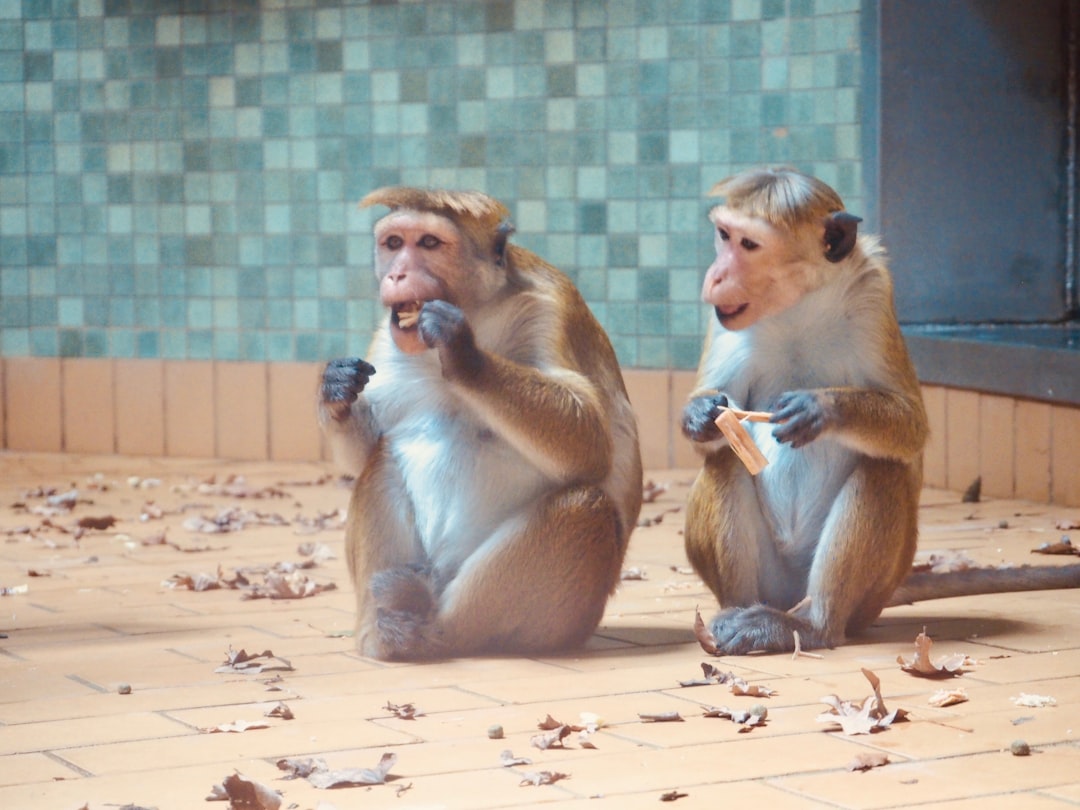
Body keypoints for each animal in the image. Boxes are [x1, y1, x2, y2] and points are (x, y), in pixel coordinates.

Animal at [319, 187, 643, 661]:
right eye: (394, 243)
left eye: (429, 243)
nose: (396, 274)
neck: (482, 309)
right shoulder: (387, 336)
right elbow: (365, 447)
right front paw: (335, 389)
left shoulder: (550, 308)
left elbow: (591, 441)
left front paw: (463, 353)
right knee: (382, 457)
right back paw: (388, 633)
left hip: (557, 618)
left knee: (585, 507)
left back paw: (440, 632)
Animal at [682, 166, 1080, 656]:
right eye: (724, 235)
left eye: (748, 244)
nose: (715, 276)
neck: (800, 306)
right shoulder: (725, 322)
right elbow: (717, 426)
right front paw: (702, 414)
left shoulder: (873, 294)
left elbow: (911, 425)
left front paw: (822, 408)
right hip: (773, 578)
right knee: (725, 461)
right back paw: (738, 613)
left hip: (867, 594)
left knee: (882, 469)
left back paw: (810, 626)